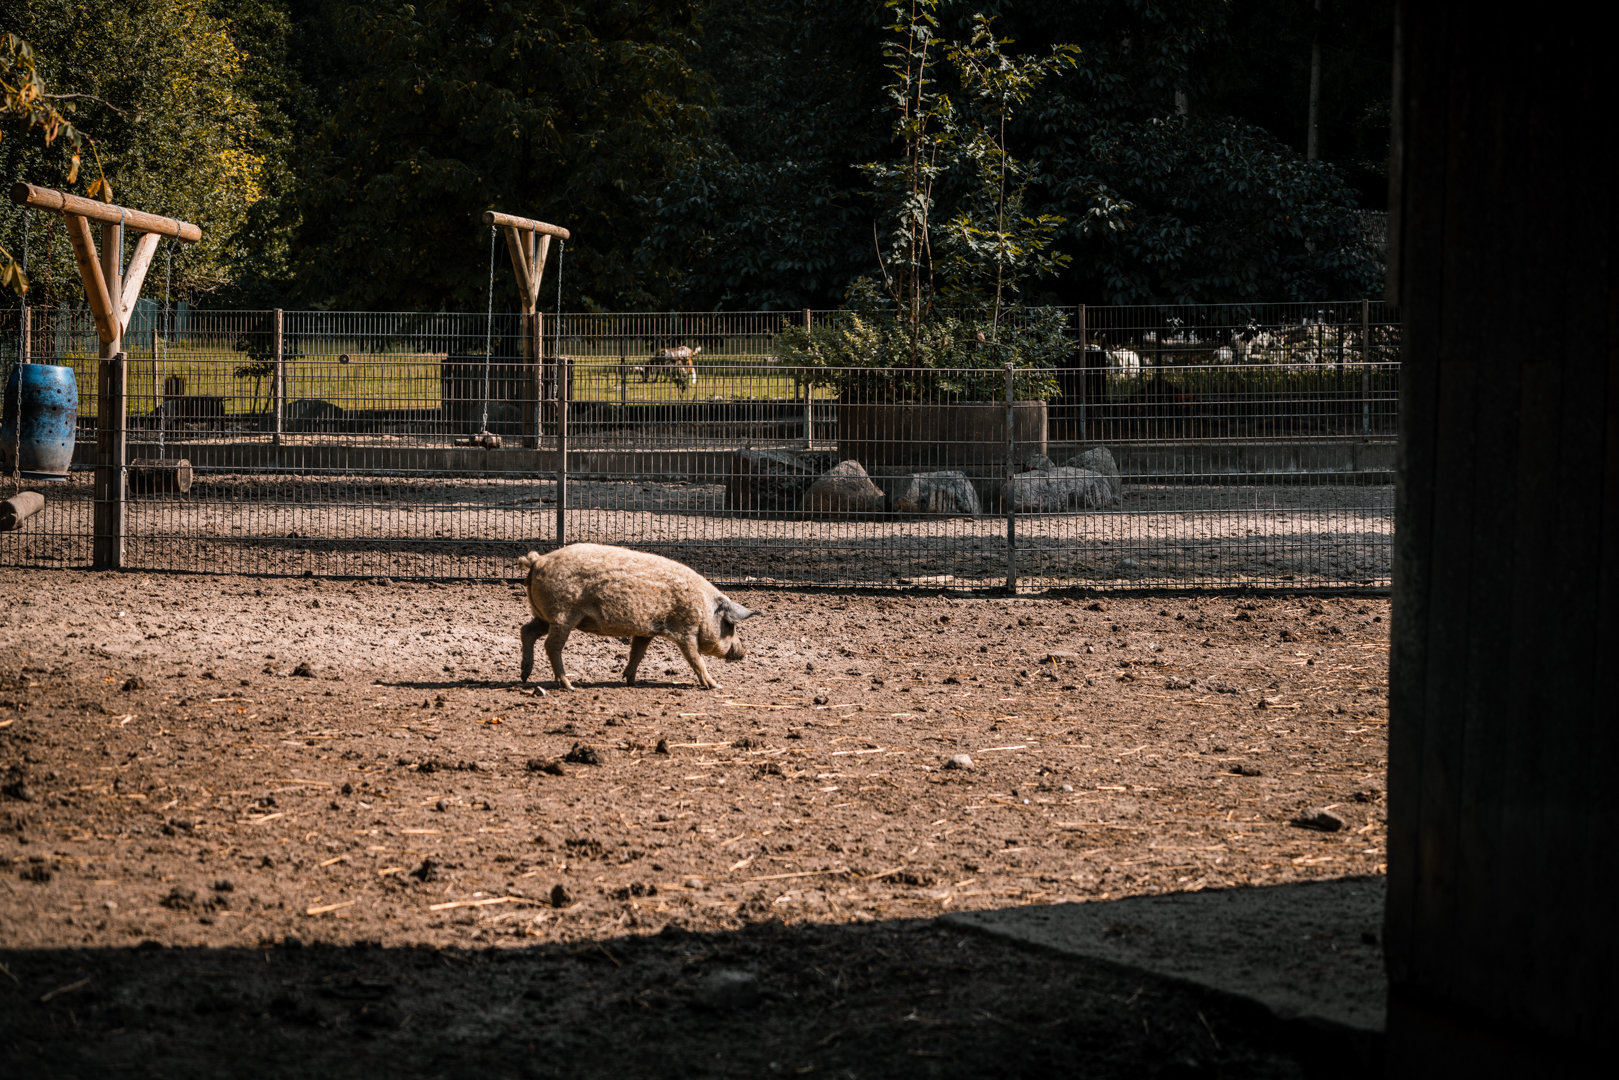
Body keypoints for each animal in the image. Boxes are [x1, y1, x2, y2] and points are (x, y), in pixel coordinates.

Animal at [516, 543, 756, 690]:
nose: (743, 652)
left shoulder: (646, 631)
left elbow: (637, 653)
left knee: (526, 630)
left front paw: (631, 681)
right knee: (551, 645)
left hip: (544, 616)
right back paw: (568, 685)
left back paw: (525, 676)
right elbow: (696, 659)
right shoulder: (685, 631)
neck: (704, 608)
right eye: (730, 626)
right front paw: (715, 685)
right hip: (563, 615)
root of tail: (537, 561)